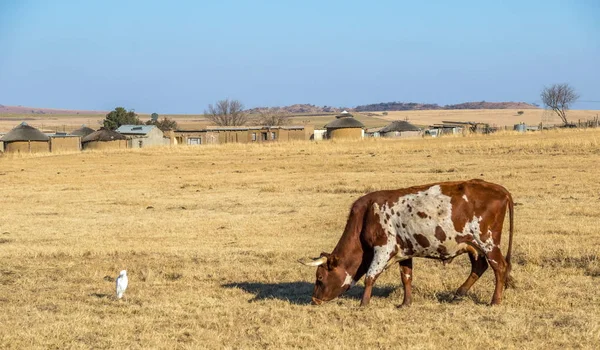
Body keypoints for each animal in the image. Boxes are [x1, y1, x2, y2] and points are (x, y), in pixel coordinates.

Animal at [300, 180, 516, 306]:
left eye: (320, 278)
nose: (314, 300)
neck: (366, 215)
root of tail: (499, 189)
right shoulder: (404, 252)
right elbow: (406, 278)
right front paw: (406, 303)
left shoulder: (383, 249)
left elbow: (370, 276)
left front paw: (363, 304)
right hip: (473, 245)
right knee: (479, 267)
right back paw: (458, 294)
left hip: (487, 242)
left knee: (499, 267)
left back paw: (495, 301)